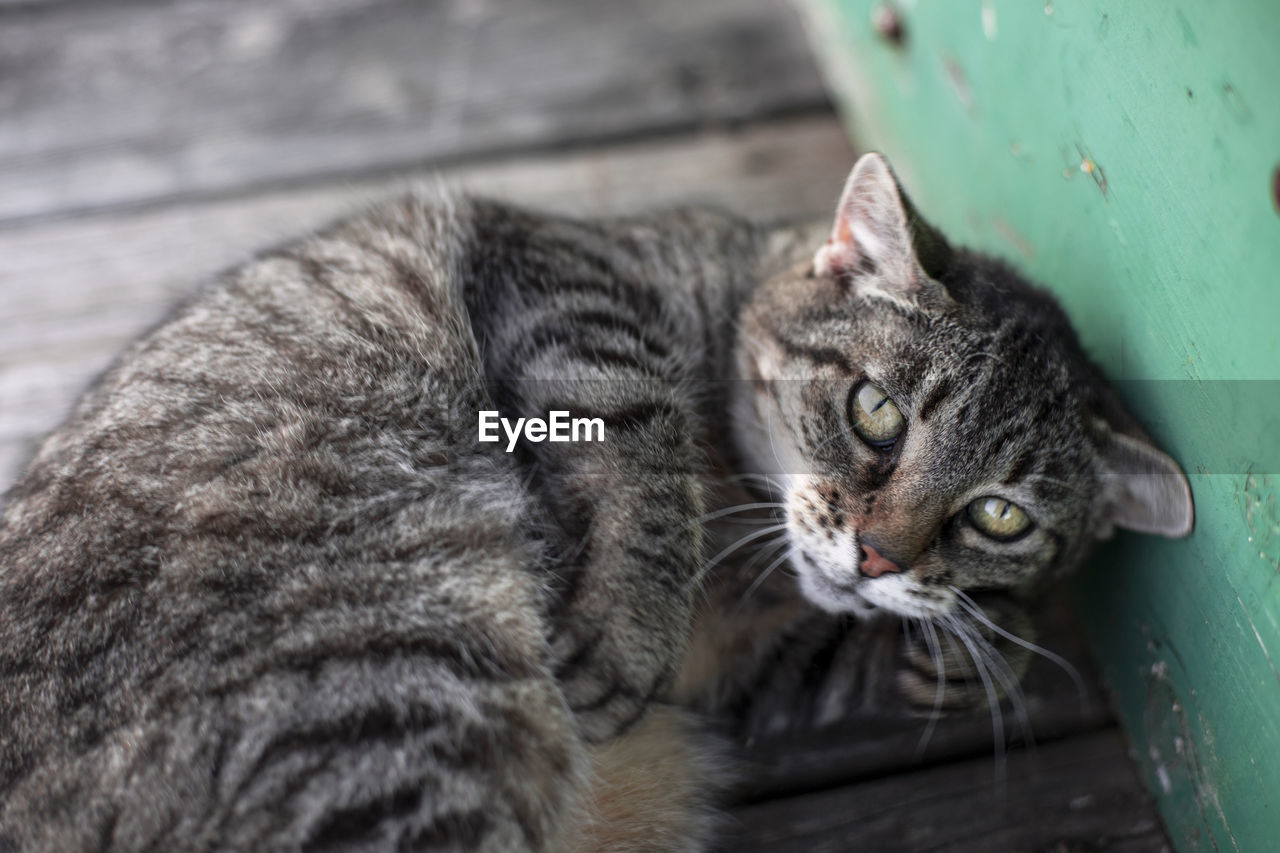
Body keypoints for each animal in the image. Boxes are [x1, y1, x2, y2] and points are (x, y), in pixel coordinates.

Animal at [0, 154, 1187, 850]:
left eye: (1000, 517)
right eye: (876, 412)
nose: (881, 556)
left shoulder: (752, 674)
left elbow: (881, 663)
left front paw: (972, 644)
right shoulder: (569, 279)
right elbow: (640, 433)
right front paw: (626, 630)